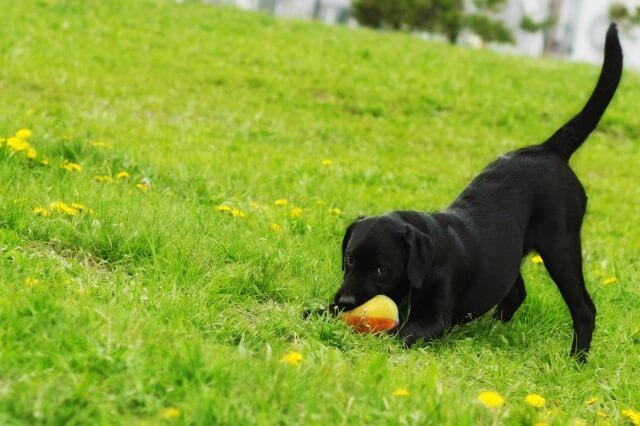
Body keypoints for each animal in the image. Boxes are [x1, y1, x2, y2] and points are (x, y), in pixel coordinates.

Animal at [320, 24, 620, 362]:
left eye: (382, 270)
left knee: (584, 309)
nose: (345, 301)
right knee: (516, 291)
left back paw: (577, 359)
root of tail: (549, 149)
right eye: (349, 259)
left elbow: (399, 331)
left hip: (561, 247)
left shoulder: (434, 320)